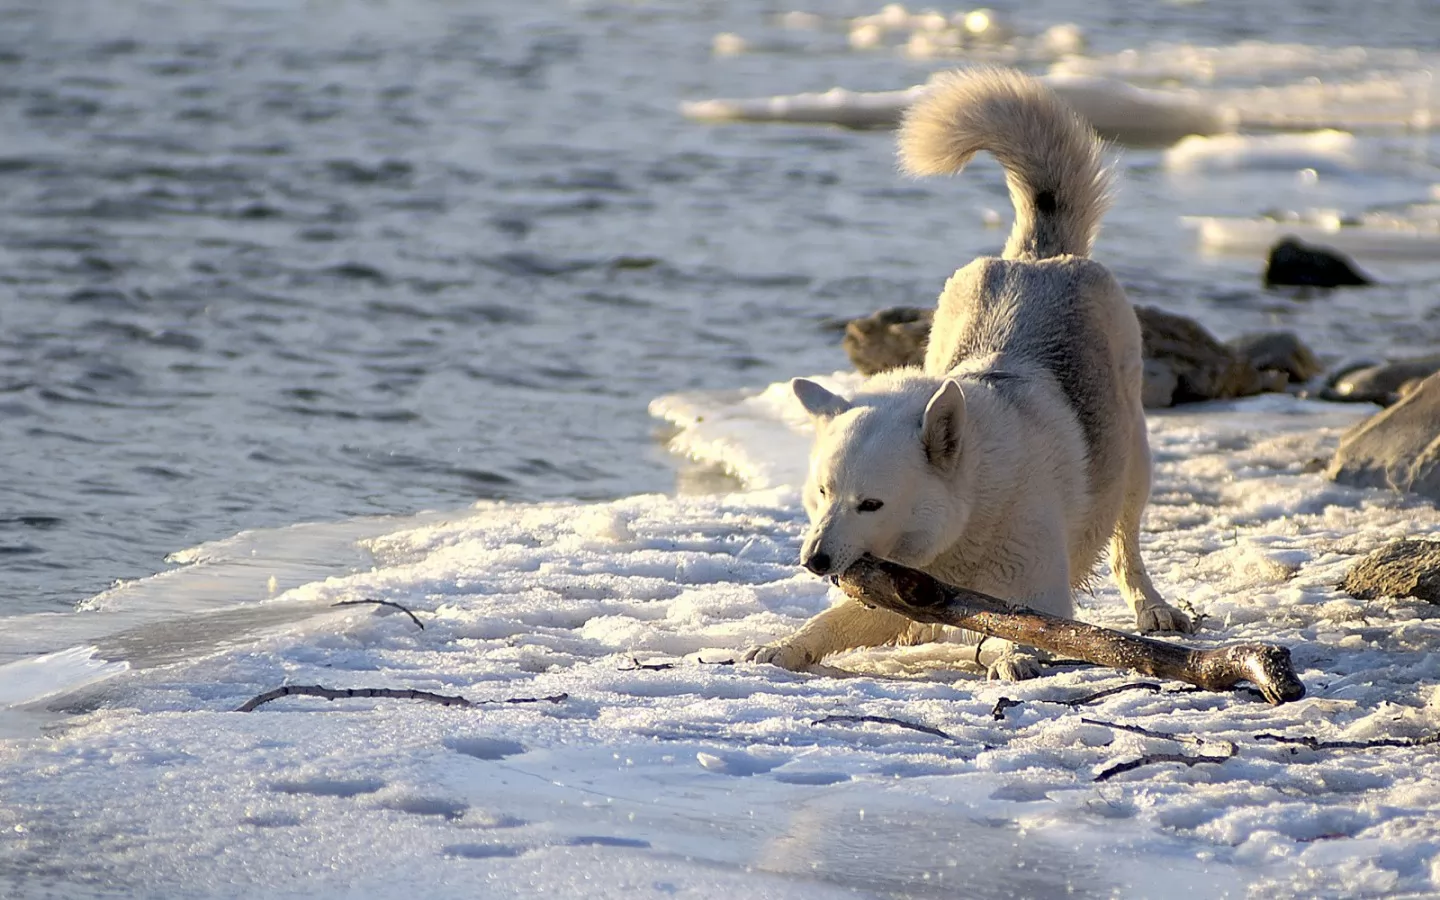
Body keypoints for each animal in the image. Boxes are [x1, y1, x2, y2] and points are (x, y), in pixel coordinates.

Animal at [748, 64, 1186, 679]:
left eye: (871, 504)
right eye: (823, 492)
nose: (815, 560)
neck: (970, 512)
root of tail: (1036, 258)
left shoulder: (1041, 594)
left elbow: (1025, 627)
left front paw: (1011, 655)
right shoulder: (892, 592)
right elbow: (829, 623)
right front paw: (783, 647)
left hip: (1135, 461)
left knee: (1128, 546)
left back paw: (1153, 608)